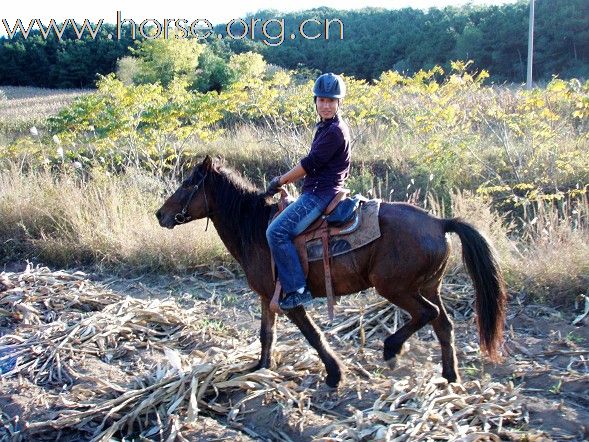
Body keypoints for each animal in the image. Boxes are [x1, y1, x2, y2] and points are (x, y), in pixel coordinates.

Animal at [156, 156, 506, 386]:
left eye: (188, 183)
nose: (160, 214)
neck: (254, 228)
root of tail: (439, 222)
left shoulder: (290, 300)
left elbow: (313, 335)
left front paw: (335, 374)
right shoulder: (267, 296)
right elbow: (266, 334)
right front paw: (260, 368)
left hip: (396, 287)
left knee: (427, 314)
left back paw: (392, 349)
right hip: (428, 285)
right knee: (443, 324)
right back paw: (450, 375)